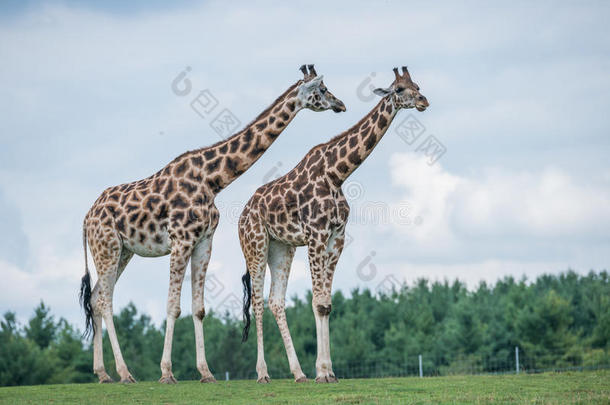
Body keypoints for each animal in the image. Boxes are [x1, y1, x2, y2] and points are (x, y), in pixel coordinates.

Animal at [78, 64, 344, 384]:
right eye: (321, 90)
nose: (340, 105)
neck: (212, 179)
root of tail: (86, 218)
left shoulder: (204, 241)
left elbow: (199, 308)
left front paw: (206, 372)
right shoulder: (181, 240)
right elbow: (173, 305)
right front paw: (167, 373)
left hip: (122, 251)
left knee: (95, 298)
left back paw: (103, 373)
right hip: (107, 246)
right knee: (105, 301)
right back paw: (124, 373)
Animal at [238, 65, 428, 382]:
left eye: (418, 86)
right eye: (400, 89)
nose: (424, 101)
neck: (336, 174)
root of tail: (240, 216)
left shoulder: (336, 236)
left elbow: (326, 304)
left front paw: (328, 370)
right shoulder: (315, 235)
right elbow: (317, 302)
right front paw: (322, 372)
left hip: (282, 247)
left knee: (276, 300)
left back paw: (298, 373)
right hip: (256, 245)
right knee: (257, 301)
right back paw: (263, 373)